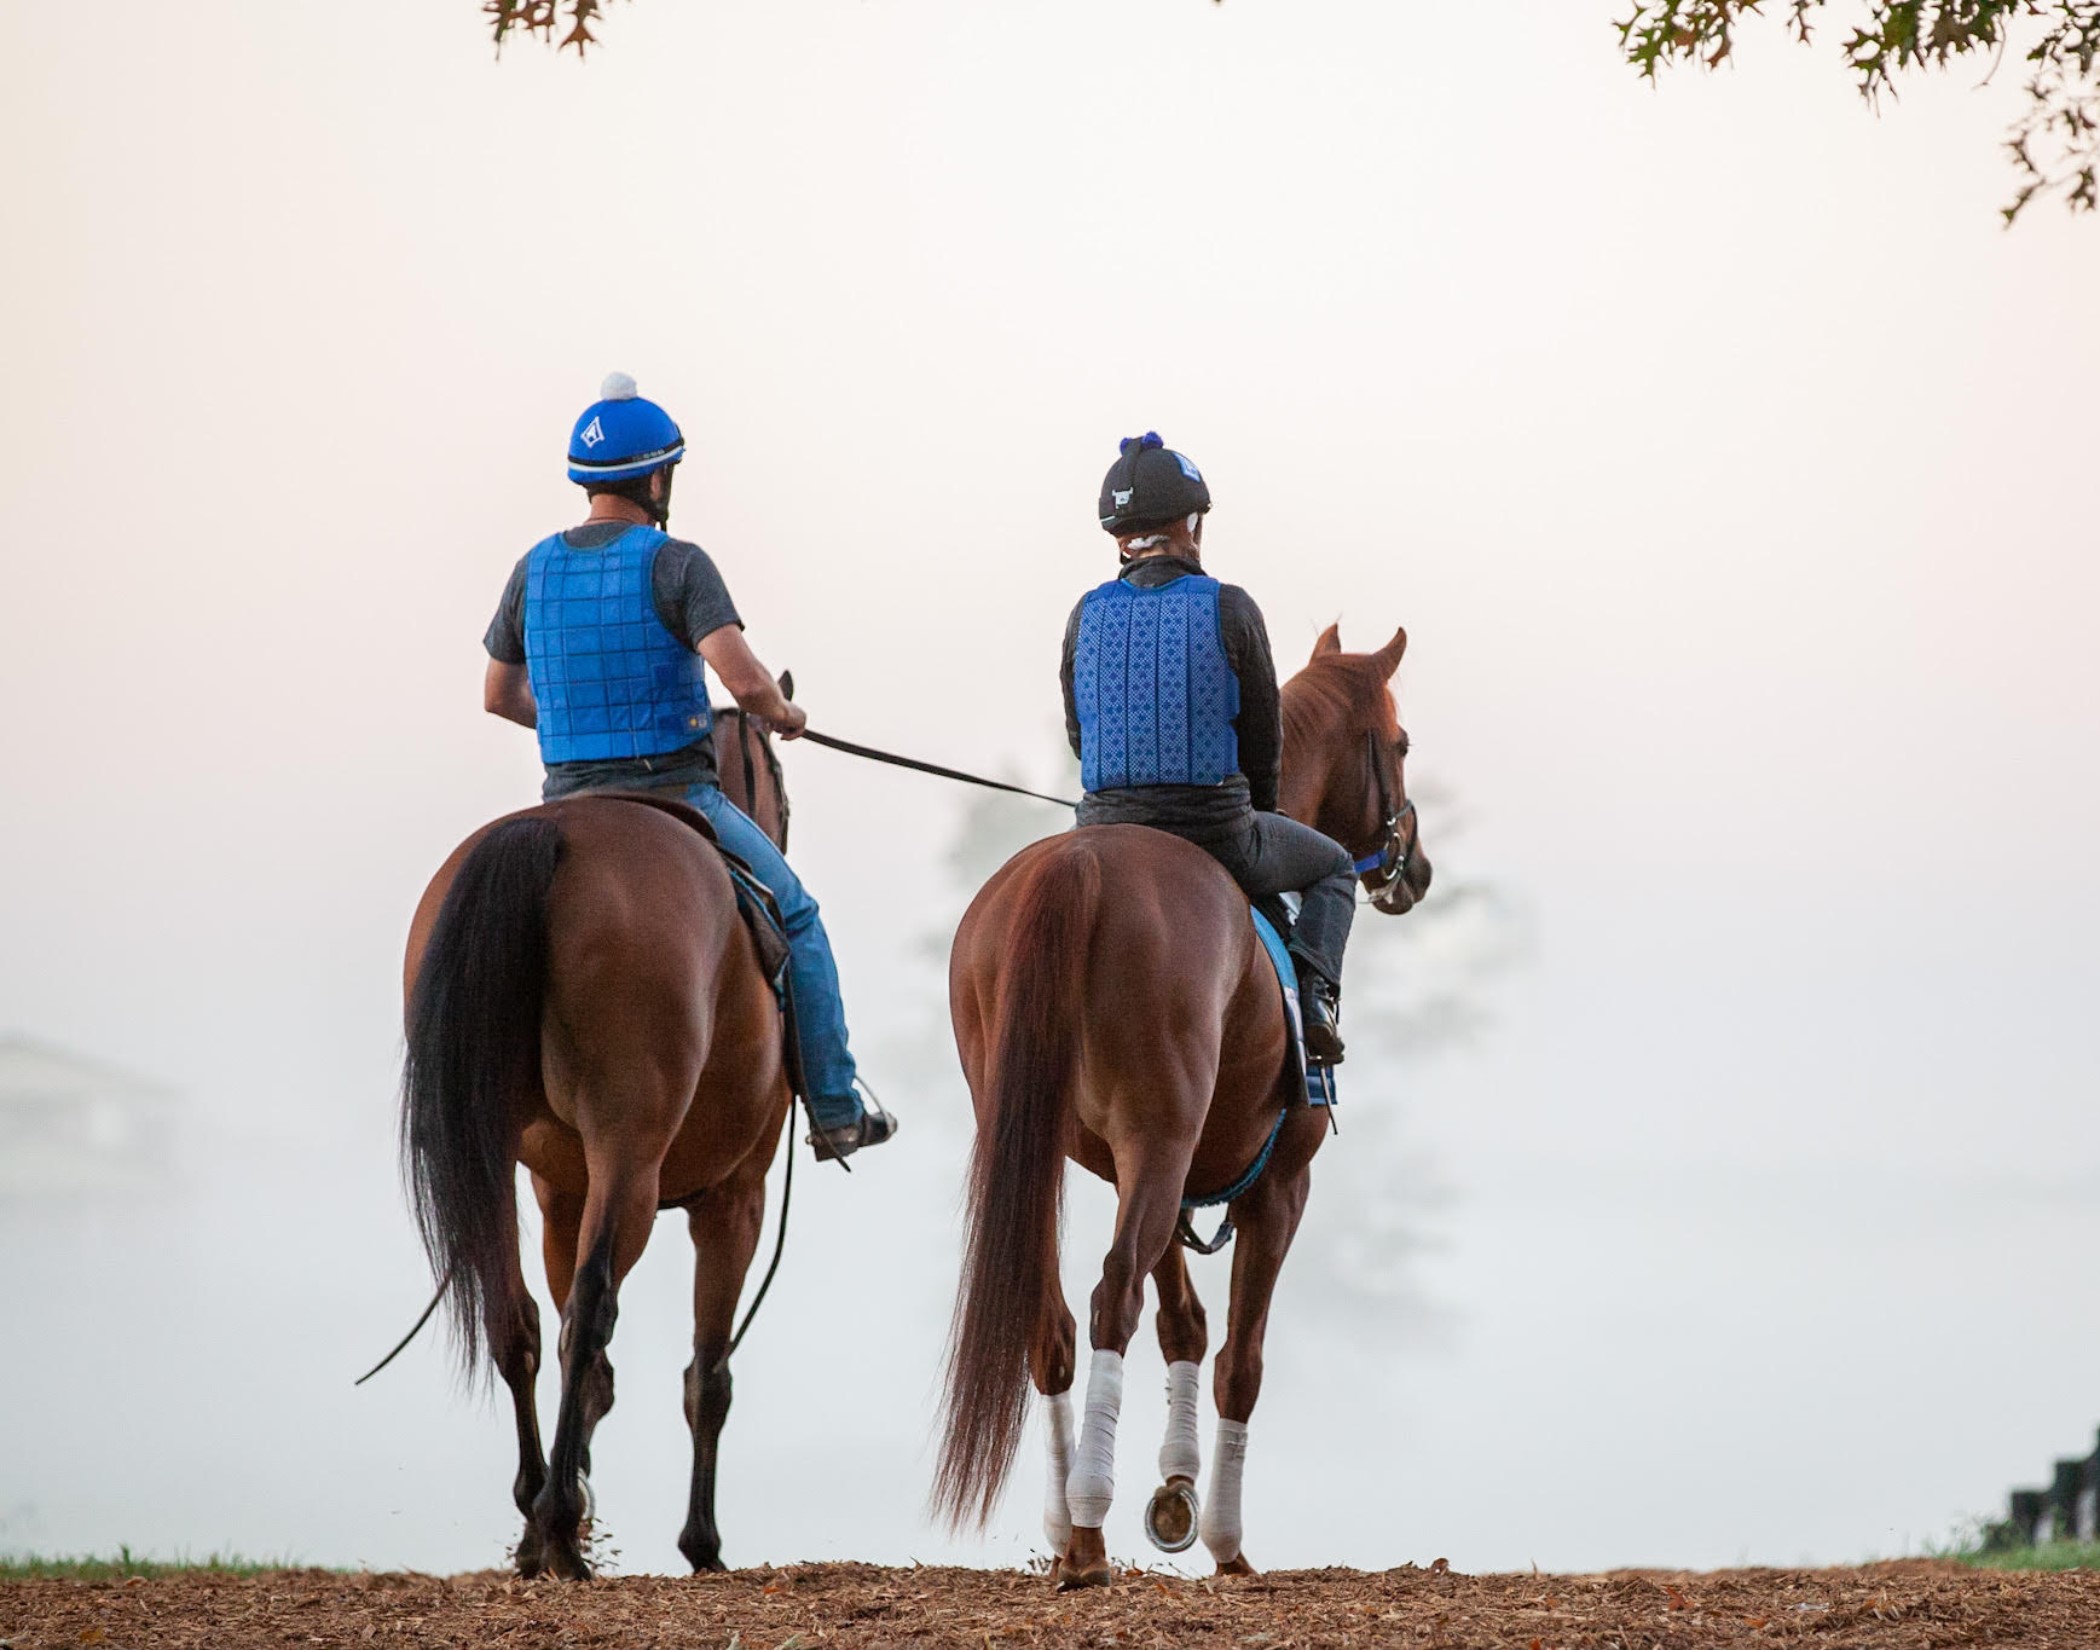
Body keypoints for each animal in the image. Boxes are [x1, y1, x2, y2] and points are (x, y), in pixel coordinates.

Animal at [396, 701, 789, 1578]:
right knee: (590, 1312)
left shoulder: (556, 1193)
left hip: (498, 1155)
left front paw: (566, 1484)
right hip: (631, 1157)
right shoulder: (735, 1199)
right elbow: (708, 1375)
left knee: (517, 1319)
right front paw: (701, 1544)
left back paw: (539, 1520)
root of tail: (550, 837)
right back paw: (558, 1527)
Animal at [944, 621, 1436, 1578]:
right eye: (1399, 745)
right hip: (1164, 1143)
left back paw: (1070, 1522)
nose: (1416, 868)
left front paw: (1173, 1493)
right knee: (1110, 1299)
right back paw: (1089, 1524)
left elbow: (1183, 1324)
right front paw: (1225, 1540)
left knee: (1054, 1318)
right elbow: (1239, 1358)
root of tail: (1084, 866)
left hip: (1062, 1150)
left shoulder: (1162, 1178)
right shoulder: (1279, 1189)